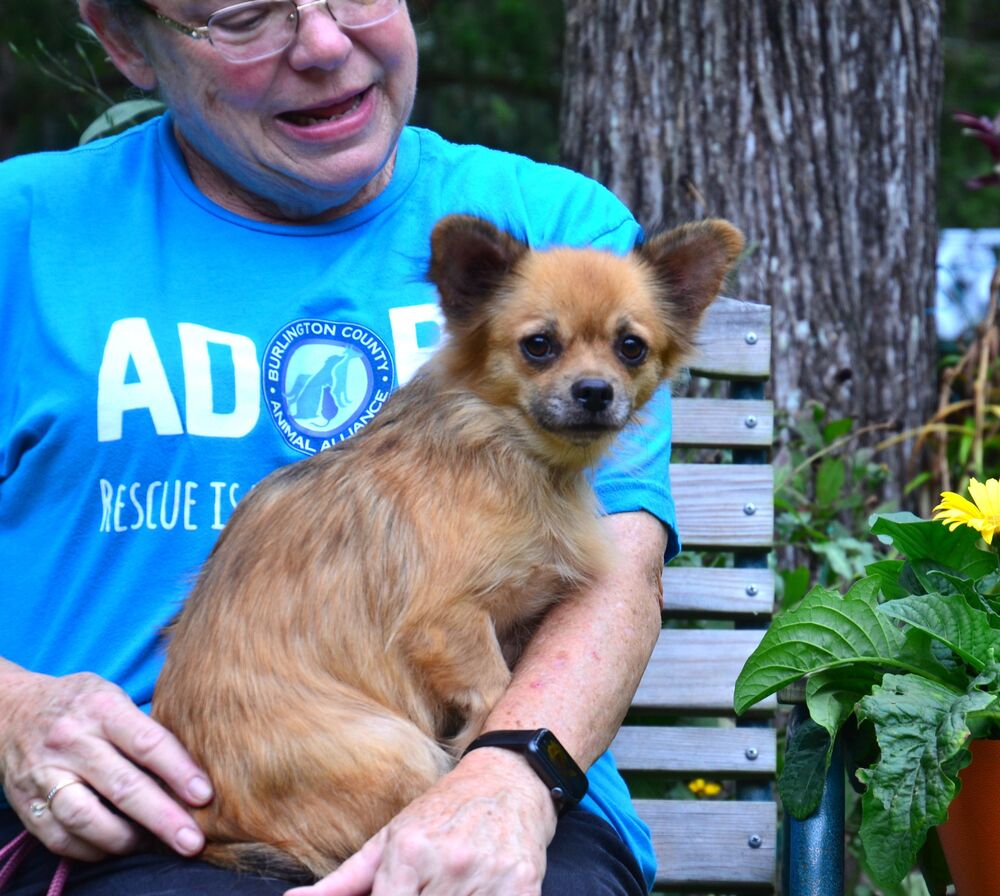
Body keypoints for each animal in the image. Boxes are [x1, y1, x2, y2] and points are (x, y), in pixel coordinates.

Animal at [150, 214, 744, 880]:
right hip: (396, 750)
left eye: (631, 347)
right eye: (539, 345)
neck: (510, 452)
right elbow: (494, 691)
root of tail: (213, 827)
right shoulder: (445, 624)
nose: (594, 391)